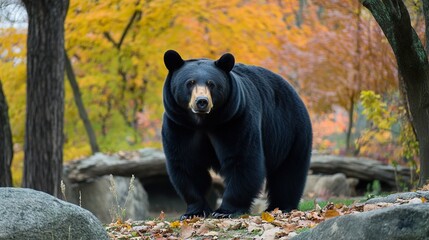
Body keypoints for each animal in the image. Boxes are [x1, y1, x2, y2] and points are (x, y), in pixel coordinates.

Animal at [160, 50, 310, 219]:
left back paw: (281, 206)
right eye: (190, 83)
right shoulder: (180, 126)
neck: (204, 122)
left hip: (291, 132)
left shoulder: (235, 119)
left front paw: (225, 211)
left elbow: (242, 159)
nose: (202, 102)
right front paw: (194, 212)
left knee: (288, 173)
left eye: (211, 84)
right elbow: (187, 164)